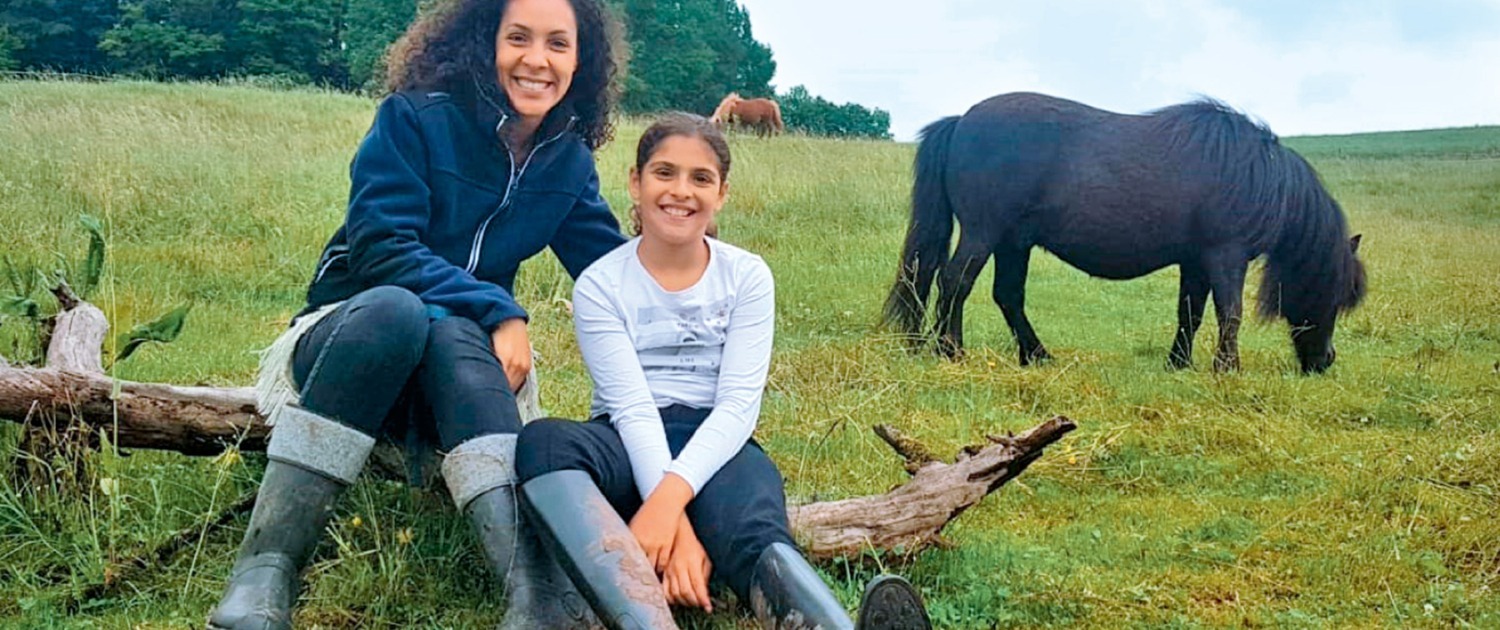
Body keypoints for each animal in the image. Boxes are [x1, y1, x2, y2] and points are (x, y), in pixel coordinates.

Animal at [882, 91, 1368, 372]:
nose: (1325, 361)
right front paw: (1227, 367)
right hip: (984, 233)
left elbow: (1190, 313)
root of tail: (961, 120)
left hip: (1013, 243)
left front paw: (1179, 364)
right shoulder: (1226, 256)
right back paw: (951, 350)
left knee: (1007, 295)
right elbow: (1230, 313)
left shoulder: (1195, 261)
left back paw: (1036, 355)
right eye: (1335, 295)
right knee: (954, 282)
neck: (1260, 176)